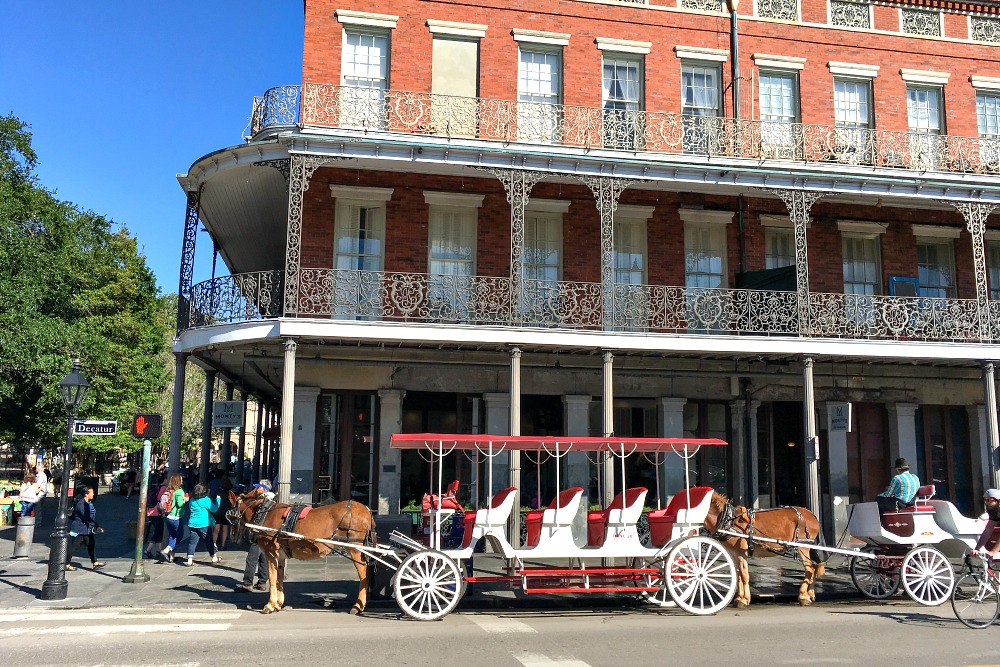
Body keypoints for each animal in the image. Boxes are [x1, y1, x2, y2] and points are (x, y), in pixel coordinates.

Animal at [229, 490, 376, 616]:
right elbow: (279, 579)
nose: (233, 537)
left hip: (355, 548)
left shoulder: (270, 552)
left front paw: (269, 605)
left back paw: (358, 606)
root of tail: (366, 510)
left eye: (231, 513)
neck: (264, 513)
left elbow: (272, 578)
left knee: (364, 575)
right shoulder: (280, 556)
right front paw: (278, 604)